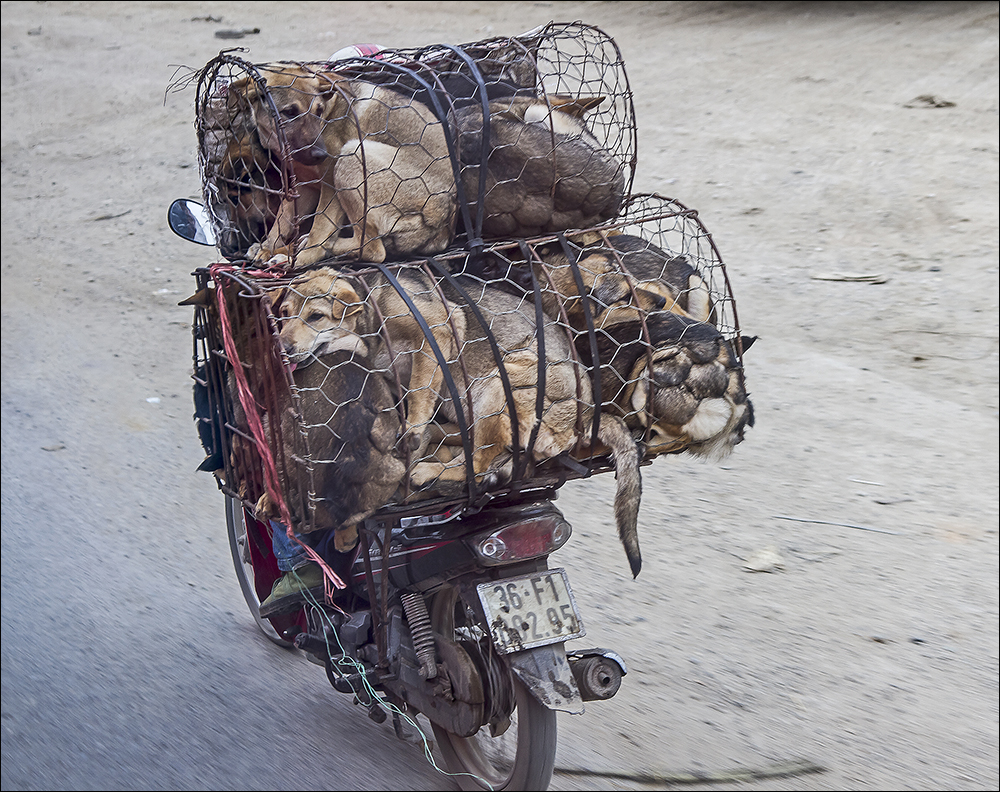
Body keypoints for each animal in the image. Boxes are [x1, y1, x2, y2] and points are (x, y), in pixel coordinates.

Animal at [238, 62, 458, 266]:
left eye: (318, 111)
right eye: (290, 112)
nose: (321, 154)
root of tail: (444, 220)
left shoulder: (330, 184)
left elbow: (319, 225)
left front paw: (305, 256)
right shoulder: (302, 186)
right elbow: (282, 221)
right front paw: (268, 247)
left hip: (352, 155)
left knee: (372, 249)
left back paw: (310, 248)